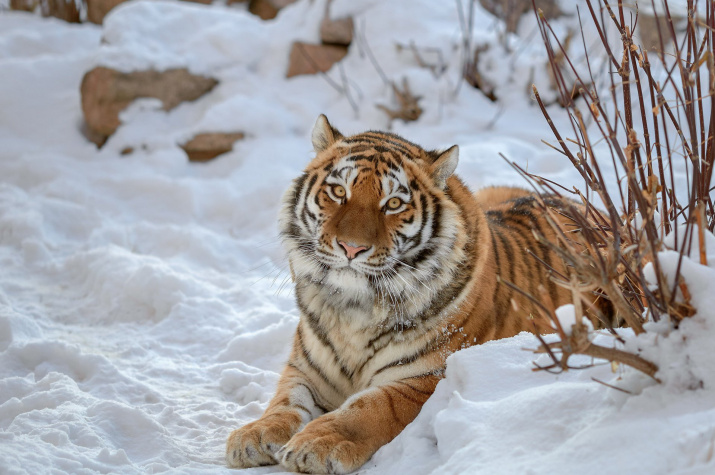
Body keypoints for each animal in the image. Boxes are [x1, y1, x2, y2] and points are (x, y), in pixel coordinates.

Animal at [227, 116, 600, 475]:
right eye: (337, 191)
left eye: (393, 203)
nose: (351, 247)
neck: (353, 308)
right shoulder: (306, 369)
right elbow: (285, 402)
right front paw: (254, 435)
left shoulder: (423, 379)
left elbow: (369, 407)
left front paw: (316, 444)